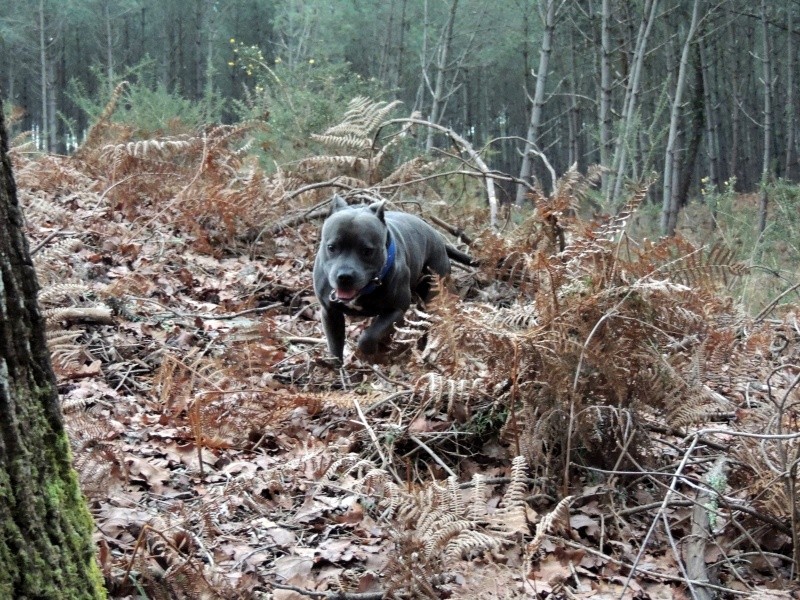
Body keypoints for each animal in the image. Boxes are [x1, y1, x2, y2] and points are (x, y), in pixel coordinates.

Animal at [314, 197, 476, 364]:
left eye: (367, 251)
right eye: (331, 247)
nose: (344, 276)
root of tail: (436, 235)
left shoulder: (396, 310)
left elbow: (368, 336)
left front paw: (371, 354)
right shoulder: (330, 312)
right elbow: (335, 343)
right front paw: (335, 366)